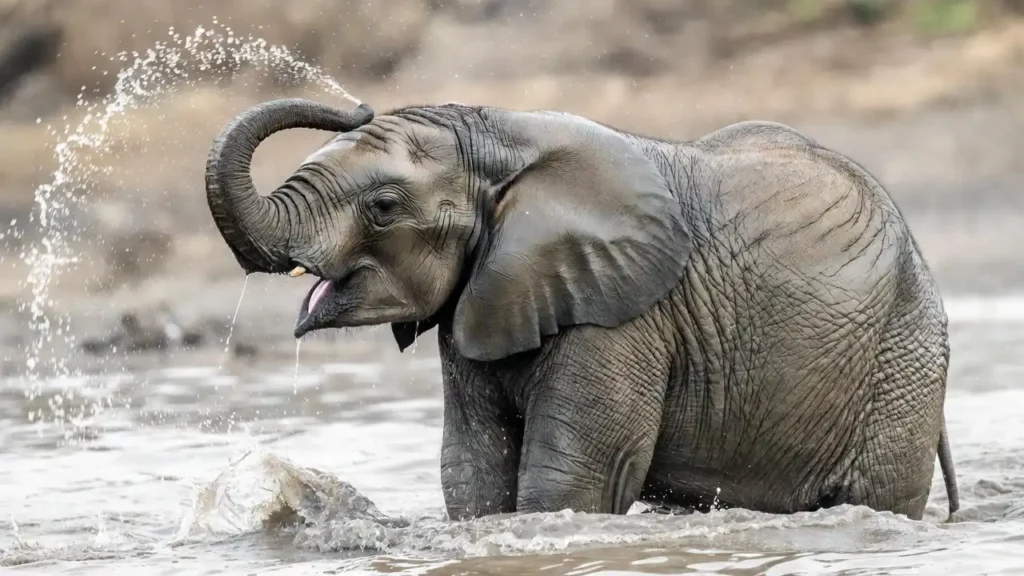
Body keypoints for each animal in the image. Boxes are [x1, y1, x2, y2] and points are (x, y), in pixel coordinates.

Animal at [203, 98, 960, 522]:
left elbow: (574, 476)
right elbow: (471, 469)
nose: (357, 108)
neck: (505, 139)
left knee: (877, 497)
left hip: (904, 356)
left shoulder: (623, 314)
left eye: (384, 207)